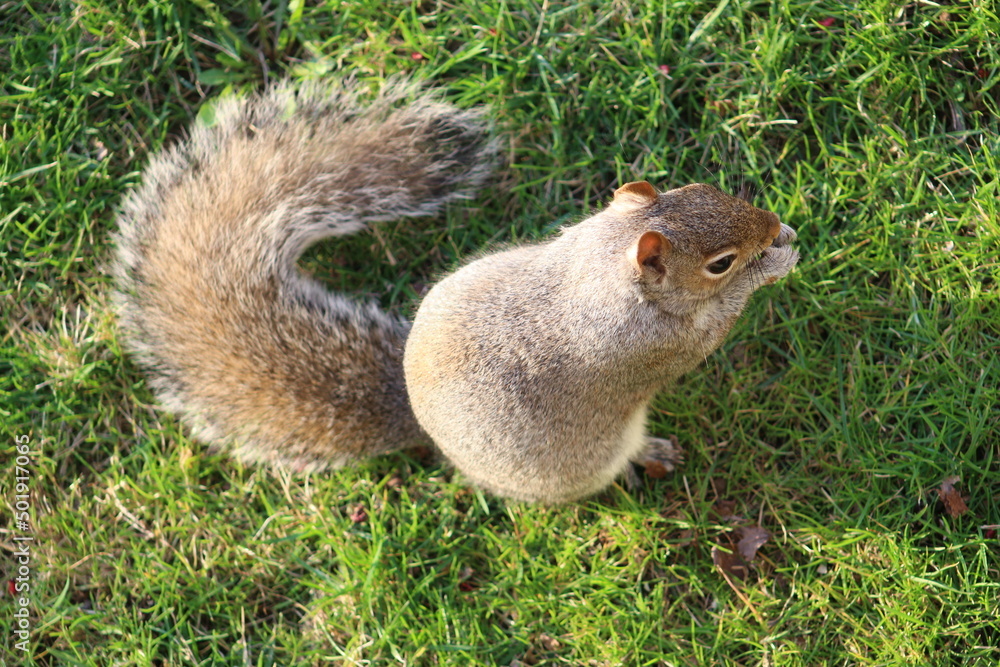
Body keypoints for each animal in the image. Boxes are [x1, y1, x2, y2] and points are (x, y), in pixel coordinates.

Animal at [114, 77, 799, 504]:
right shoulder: (655, 344)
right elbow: (710, 332)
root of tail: (421, 424)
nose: (771, 225)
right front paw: (775, 264)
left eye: (706, 189)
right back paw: (647, 453)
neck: (600, 265)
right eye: (720, 263)